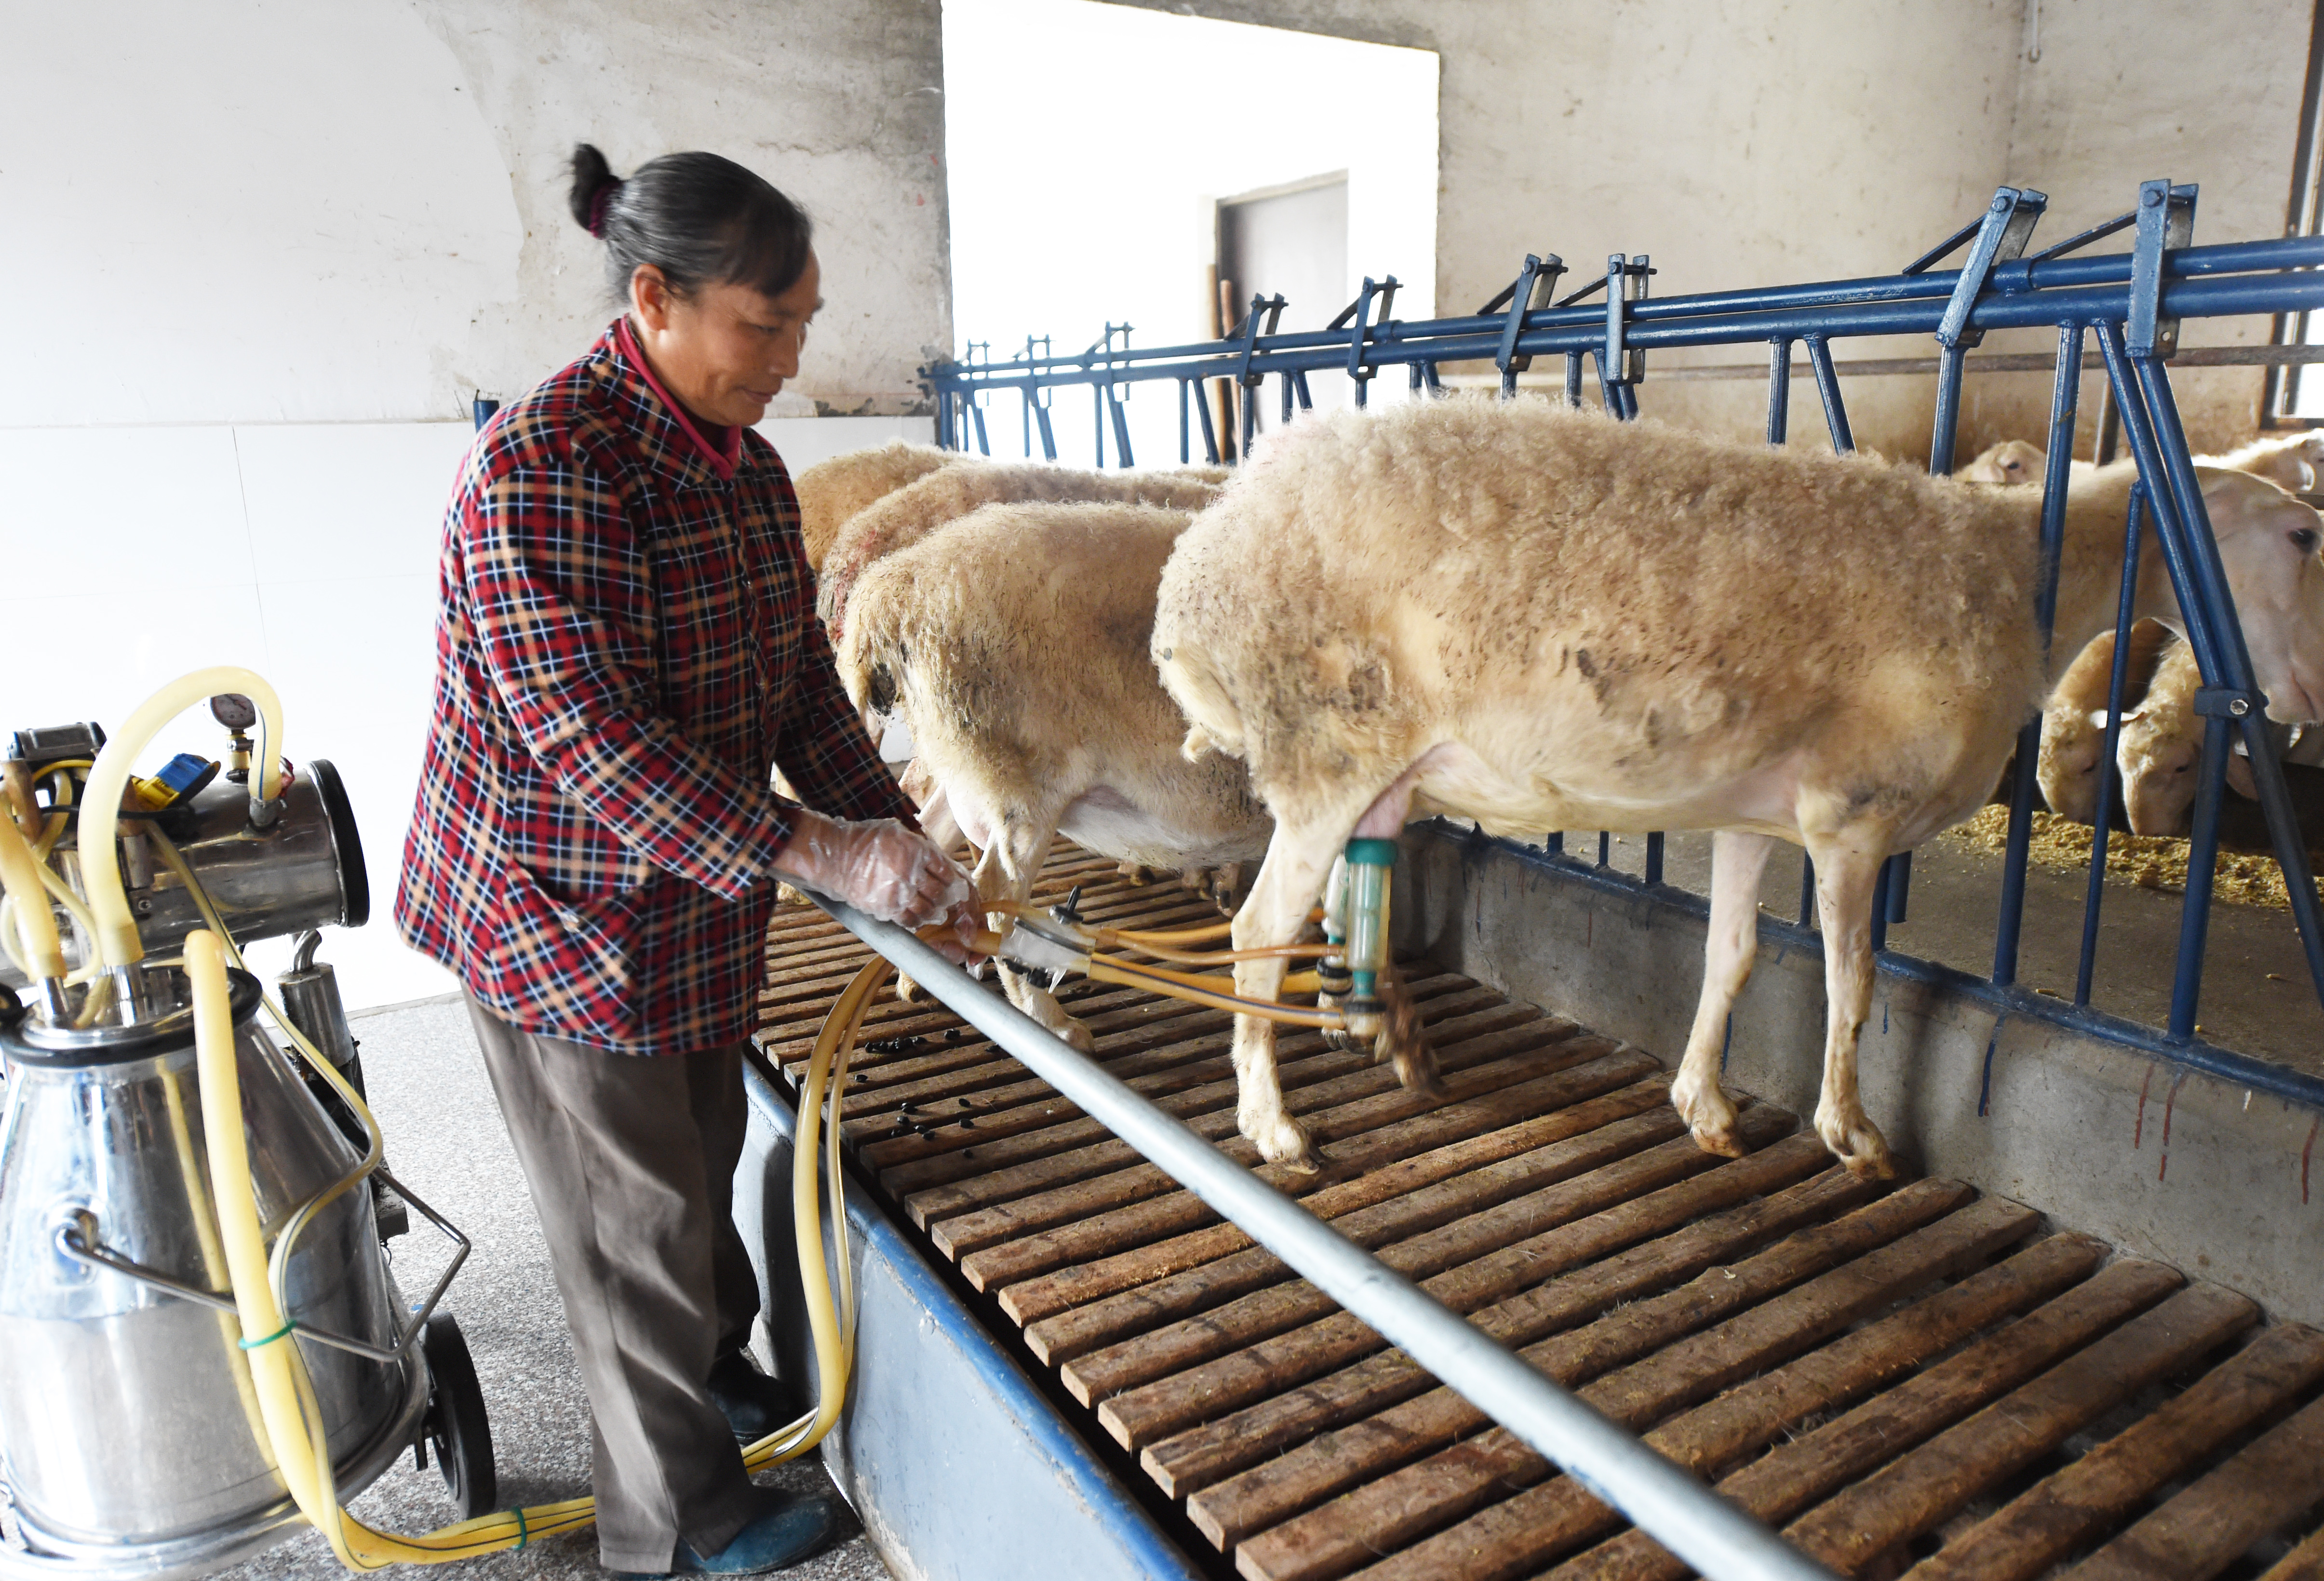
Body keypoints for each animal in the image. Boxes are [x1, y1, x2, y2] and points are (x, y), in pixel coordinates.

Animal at [836, 502, 1273, 1051]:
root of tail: (887, 595)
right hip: (1020, 785)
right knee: (998, 902)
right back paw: (1052, 1024)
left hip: (964, 767)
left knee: (931, 839)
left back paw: (920, 975)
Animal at [1148, 395, 2324, 1172]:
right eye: (2305, 530)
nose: (2308, 692)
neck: (2011, 575)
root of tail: (1199, 562)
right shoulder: (1852, 814)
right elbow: (1854, 982)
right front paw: (1851, 1131)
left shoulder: (1756, 813)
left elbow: (1736, 956)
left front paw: (1703, 1104)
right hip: (1322, 748)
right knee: (1258, 933)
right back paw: (1274, 1125)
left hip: (1375, 765)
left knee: (1357, 888)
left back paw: (1380, 1033)